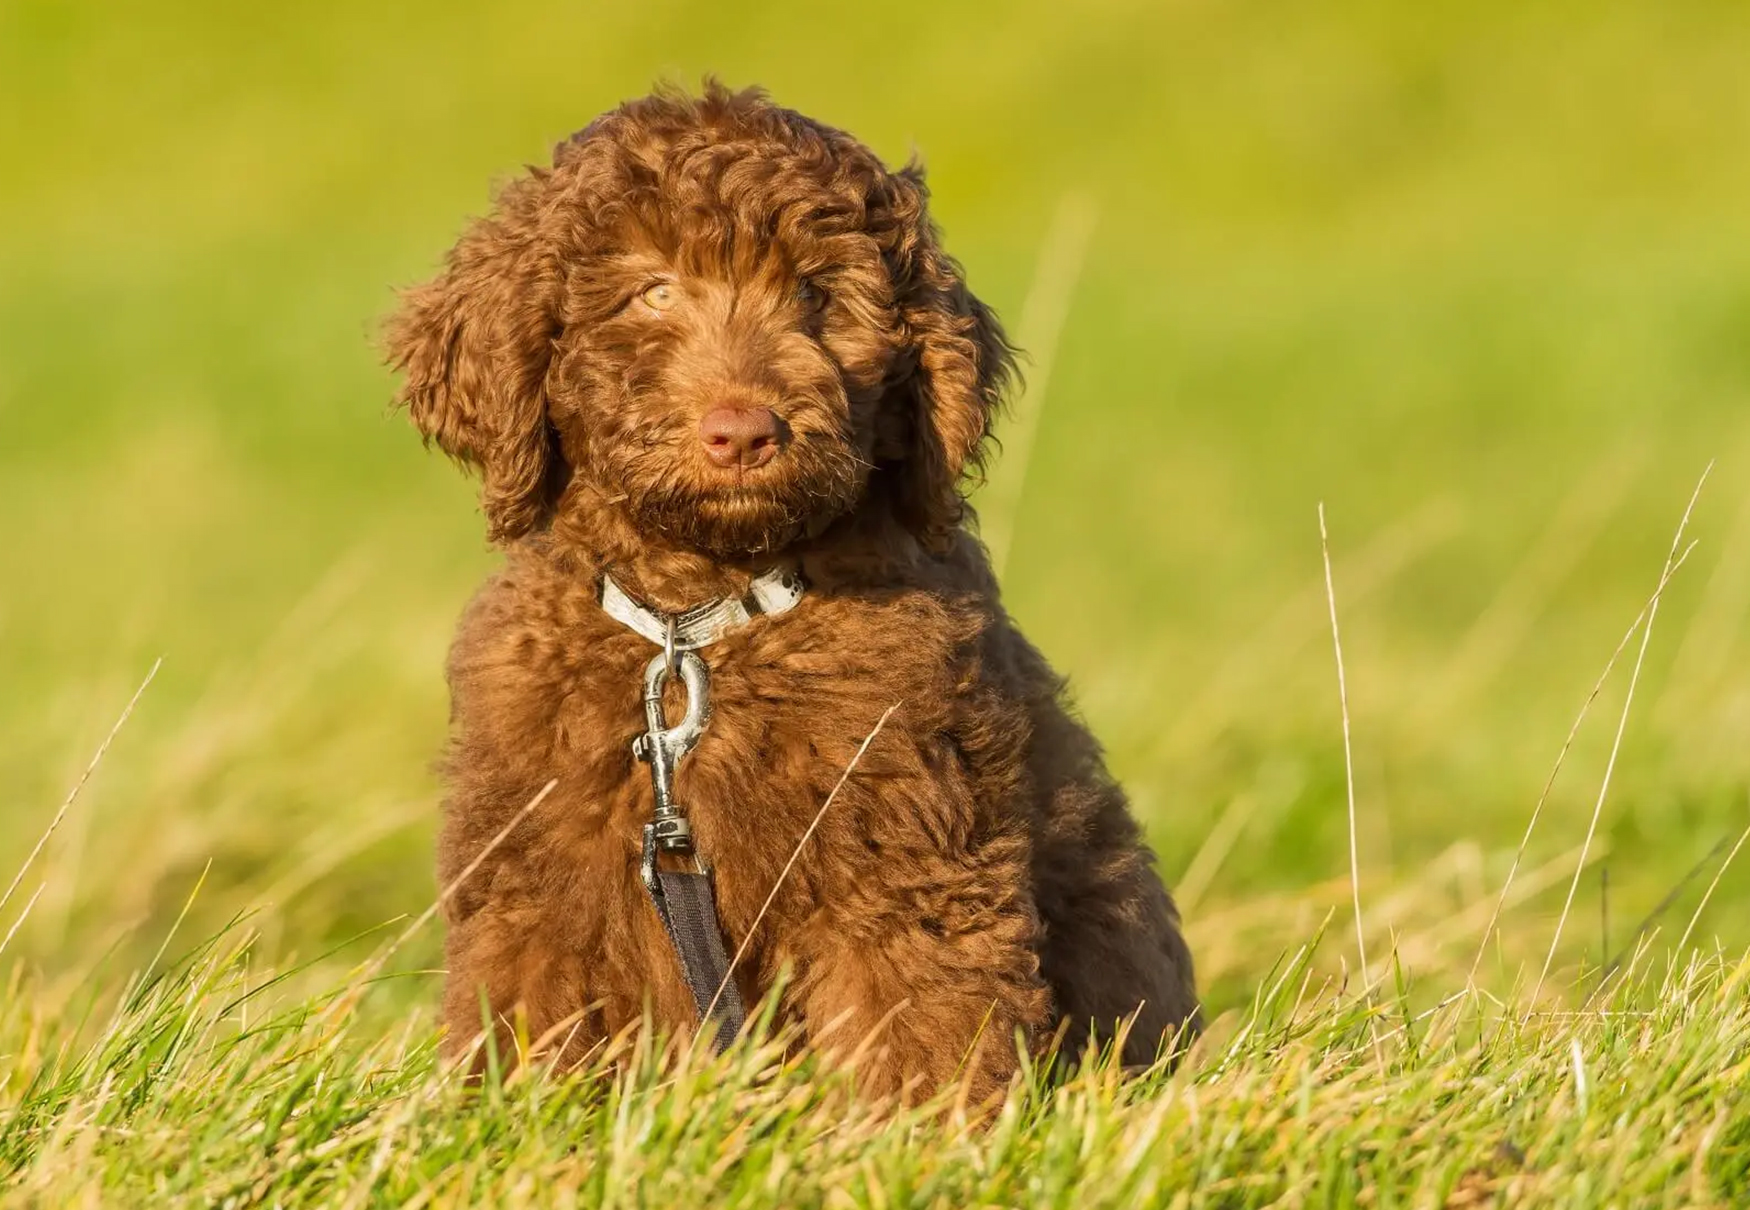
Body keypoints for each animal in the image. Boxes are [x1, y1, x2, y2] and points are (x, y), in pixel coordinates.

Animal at [388, 82, 1197, 1106]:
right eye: (654, 290)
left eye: (815, 293)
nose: (743, 432)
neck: (699, 623)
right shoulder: (532, 873)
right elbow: (527, 1023)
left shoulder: (902, 856)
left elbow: (915, 1034)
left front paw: (919, 1134)